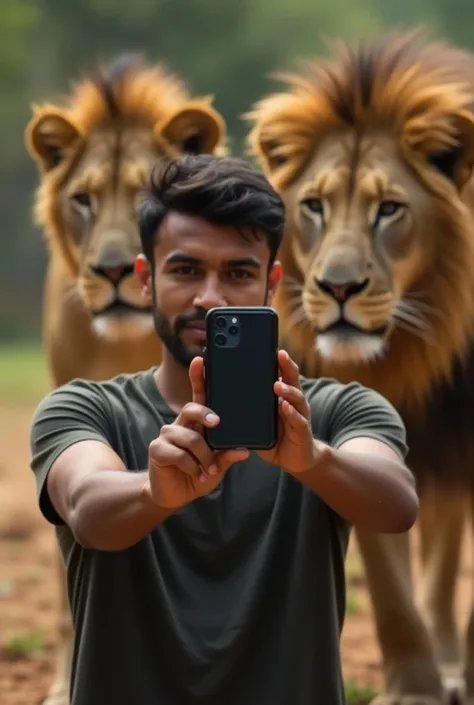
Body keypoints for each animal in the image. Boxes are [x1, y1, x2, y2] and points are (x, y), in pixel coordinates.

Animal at [246, 28, 474, 704]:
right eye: (315, 206)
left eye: (390, 209)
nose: (338, 287)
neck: (419, 356)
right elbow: (391, 584)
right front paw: (416, 688)